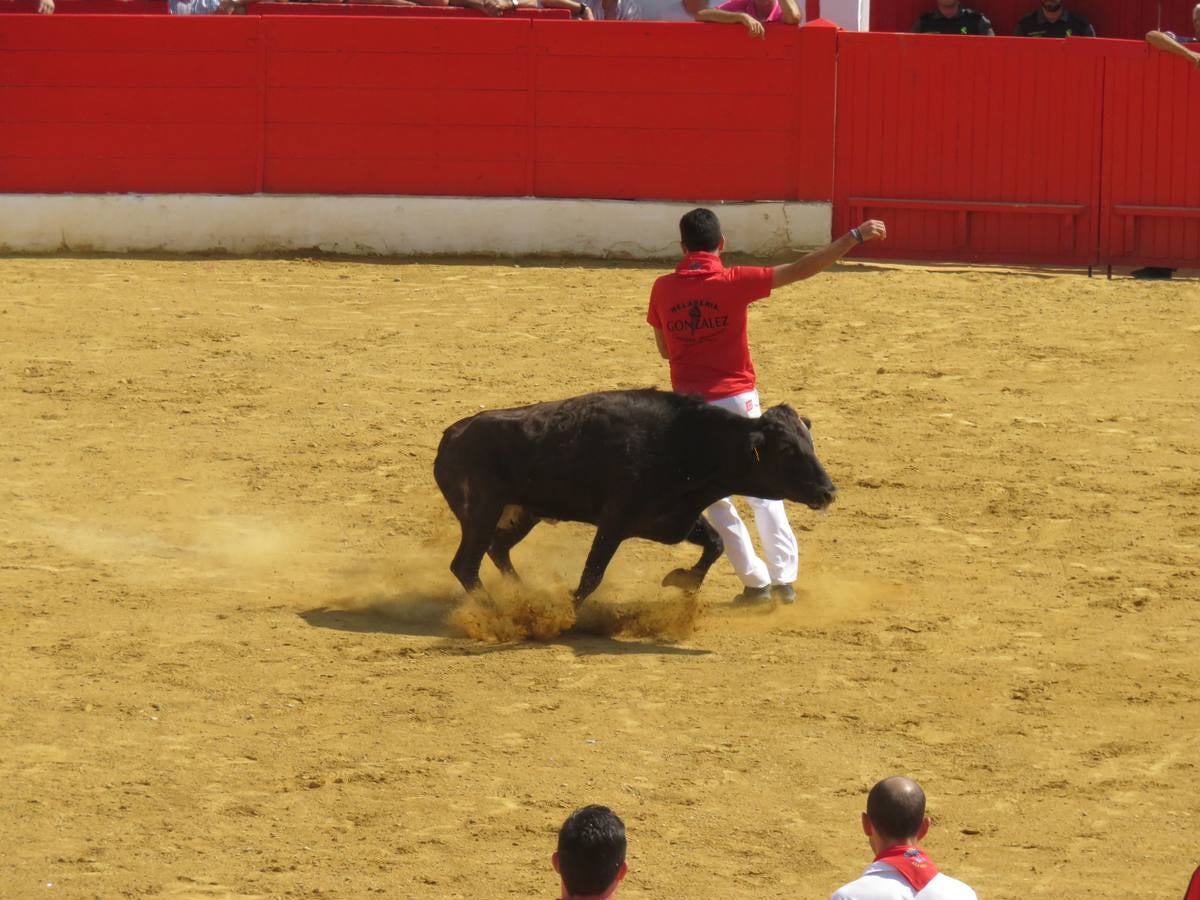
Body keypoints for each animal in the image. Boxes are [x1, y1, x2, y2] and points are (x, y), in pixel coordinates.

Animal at [432, 388, 835, 607]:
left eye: (810, 443)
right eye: (788, 450)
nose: (829, 491)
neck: (686, 444)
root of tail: (452, 434)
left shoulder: (674, 518)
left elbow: (716, 543)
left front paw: (681, 580)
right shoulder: (615, 522)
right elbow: (592, 575)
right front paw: (566, 614)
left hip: (521, 513)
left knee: (497, 549)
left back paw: (521, 593)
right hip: (482, 512)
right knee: (465, 565)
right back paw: (495, 608)